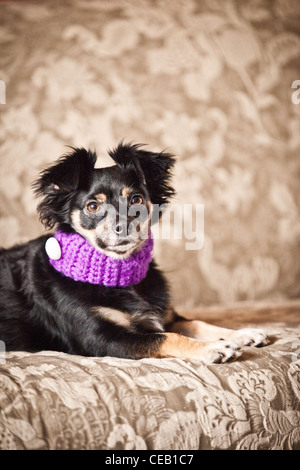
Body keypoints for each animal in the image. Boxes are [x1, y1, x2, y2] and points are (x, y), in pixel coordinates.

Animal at [0, 143, 268, 364]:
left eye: (137, 200)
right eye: (92, 206)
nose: (124, 226)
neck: (121, 279)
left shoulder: (165, 316)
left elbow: (196, 323)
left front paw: (241, 333)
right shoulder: (101, 339)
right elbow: (167, 337)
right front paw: (212, 348)